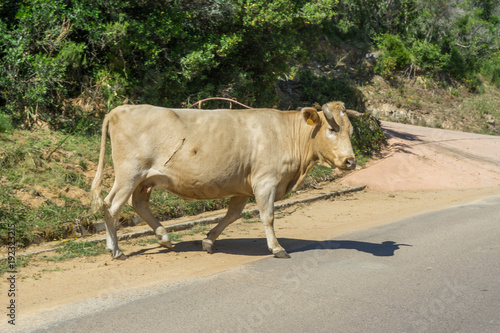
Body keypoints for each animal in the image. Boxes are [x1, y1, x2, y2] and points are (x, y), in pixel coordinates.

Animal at [90, 102, 362, 260]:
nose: (351, 161)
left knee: (138, 204)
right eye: (332, 129)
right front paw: (277, 248)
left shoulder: (243, 187)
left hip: (145, 179)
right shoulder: (266, 181)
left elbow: (232, 215)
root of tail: (119, 109)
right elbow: (268, 216)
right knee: (111, 206)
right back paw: (116, 249)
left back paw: (163, 239)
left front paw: (208, 241)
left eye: (350, 130)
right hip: (129, 173)